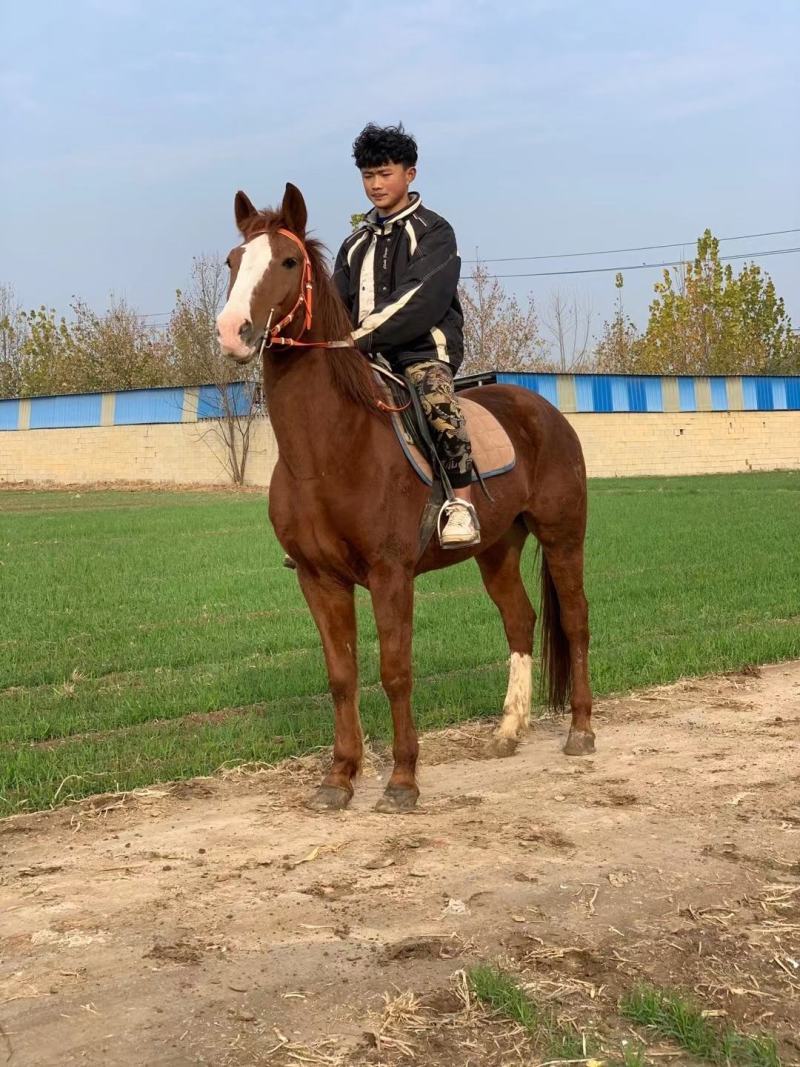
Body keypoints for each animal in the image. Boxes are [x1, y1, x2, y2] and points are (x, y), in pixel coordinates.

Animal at [216, 182, 594, 814]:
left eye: (288, 262)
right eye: (233, 262)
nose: (232, 331)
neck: (329, 450)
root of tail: (544, 411)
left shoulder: (390, 574)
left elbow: (395, 671)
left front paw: (402, 781)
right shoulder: (318, 578)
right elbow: (341, 675)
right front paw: (339, 778)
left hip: (564, 539)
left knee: (576, 621)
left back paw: (582, 731)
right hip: (497, 549)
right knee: (520, 621)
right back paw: (508, 731)